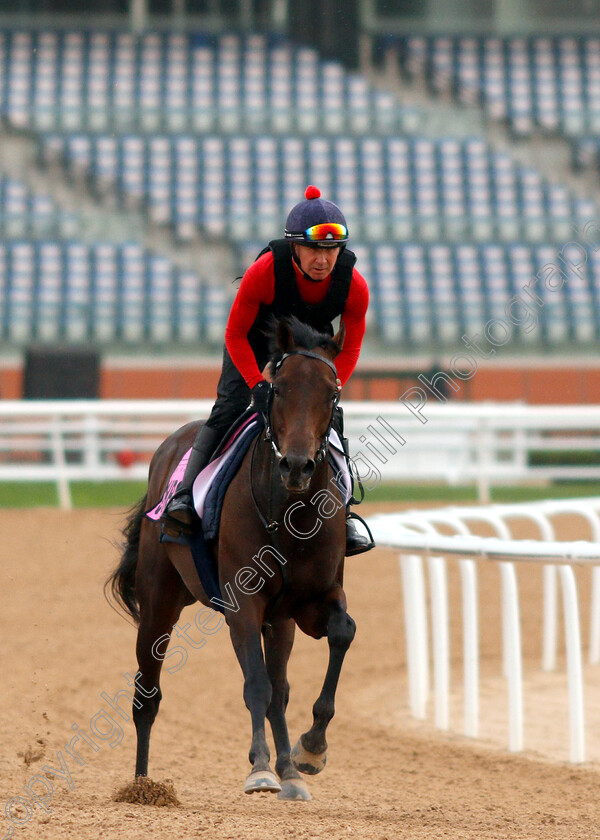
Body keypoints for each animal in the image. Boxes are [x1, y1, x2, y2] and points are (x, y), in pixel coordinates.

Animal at [106, 316, 356, 800]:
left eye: (331, 393)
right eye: (278, 388)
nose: (297, 465)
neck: (291, 514)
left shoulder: (313, 599)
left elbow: (340, 633)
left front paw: (310, 751)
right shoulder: (243, 602)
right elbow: (255, 684)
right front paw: (259, 768)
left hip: (279, 621)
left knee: (281, 689)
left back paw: (290, 773)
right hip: (160, 600)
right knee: (148, 693)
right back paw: (143, 786)